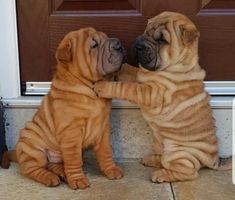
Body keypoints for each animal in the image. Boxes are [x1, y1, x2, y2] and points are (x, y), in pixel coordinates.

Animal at [2, 27, 125, 189]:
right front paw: (78, 180)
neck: (91, 89)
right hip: (33, 147)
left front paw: (112, 170)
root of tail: (17, 151)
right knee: (31, 169)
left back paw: (62, 173)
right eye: (94, 45)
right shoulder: (71, 133)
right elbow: (74, 159)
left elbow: (106, 151)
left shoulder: (103, 128)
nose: (119, 44)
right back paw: (49, 178)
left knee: (54, 164)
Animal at [94, 11, 230, 183]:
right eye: (146, 31)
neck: (176, 65)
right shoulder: (143, 77)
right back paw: (151, 160)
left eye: (162, 40)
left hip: (178, 153)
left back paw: (161, 174)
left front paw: (103, 86)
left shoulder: (151, 92)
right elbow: (133, 71)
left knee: (189, 172)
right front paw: (121, 68)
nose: (138, 45)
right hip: (159, 143)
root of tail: (214, 159)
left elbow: (126, 87)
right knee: (162, 157)